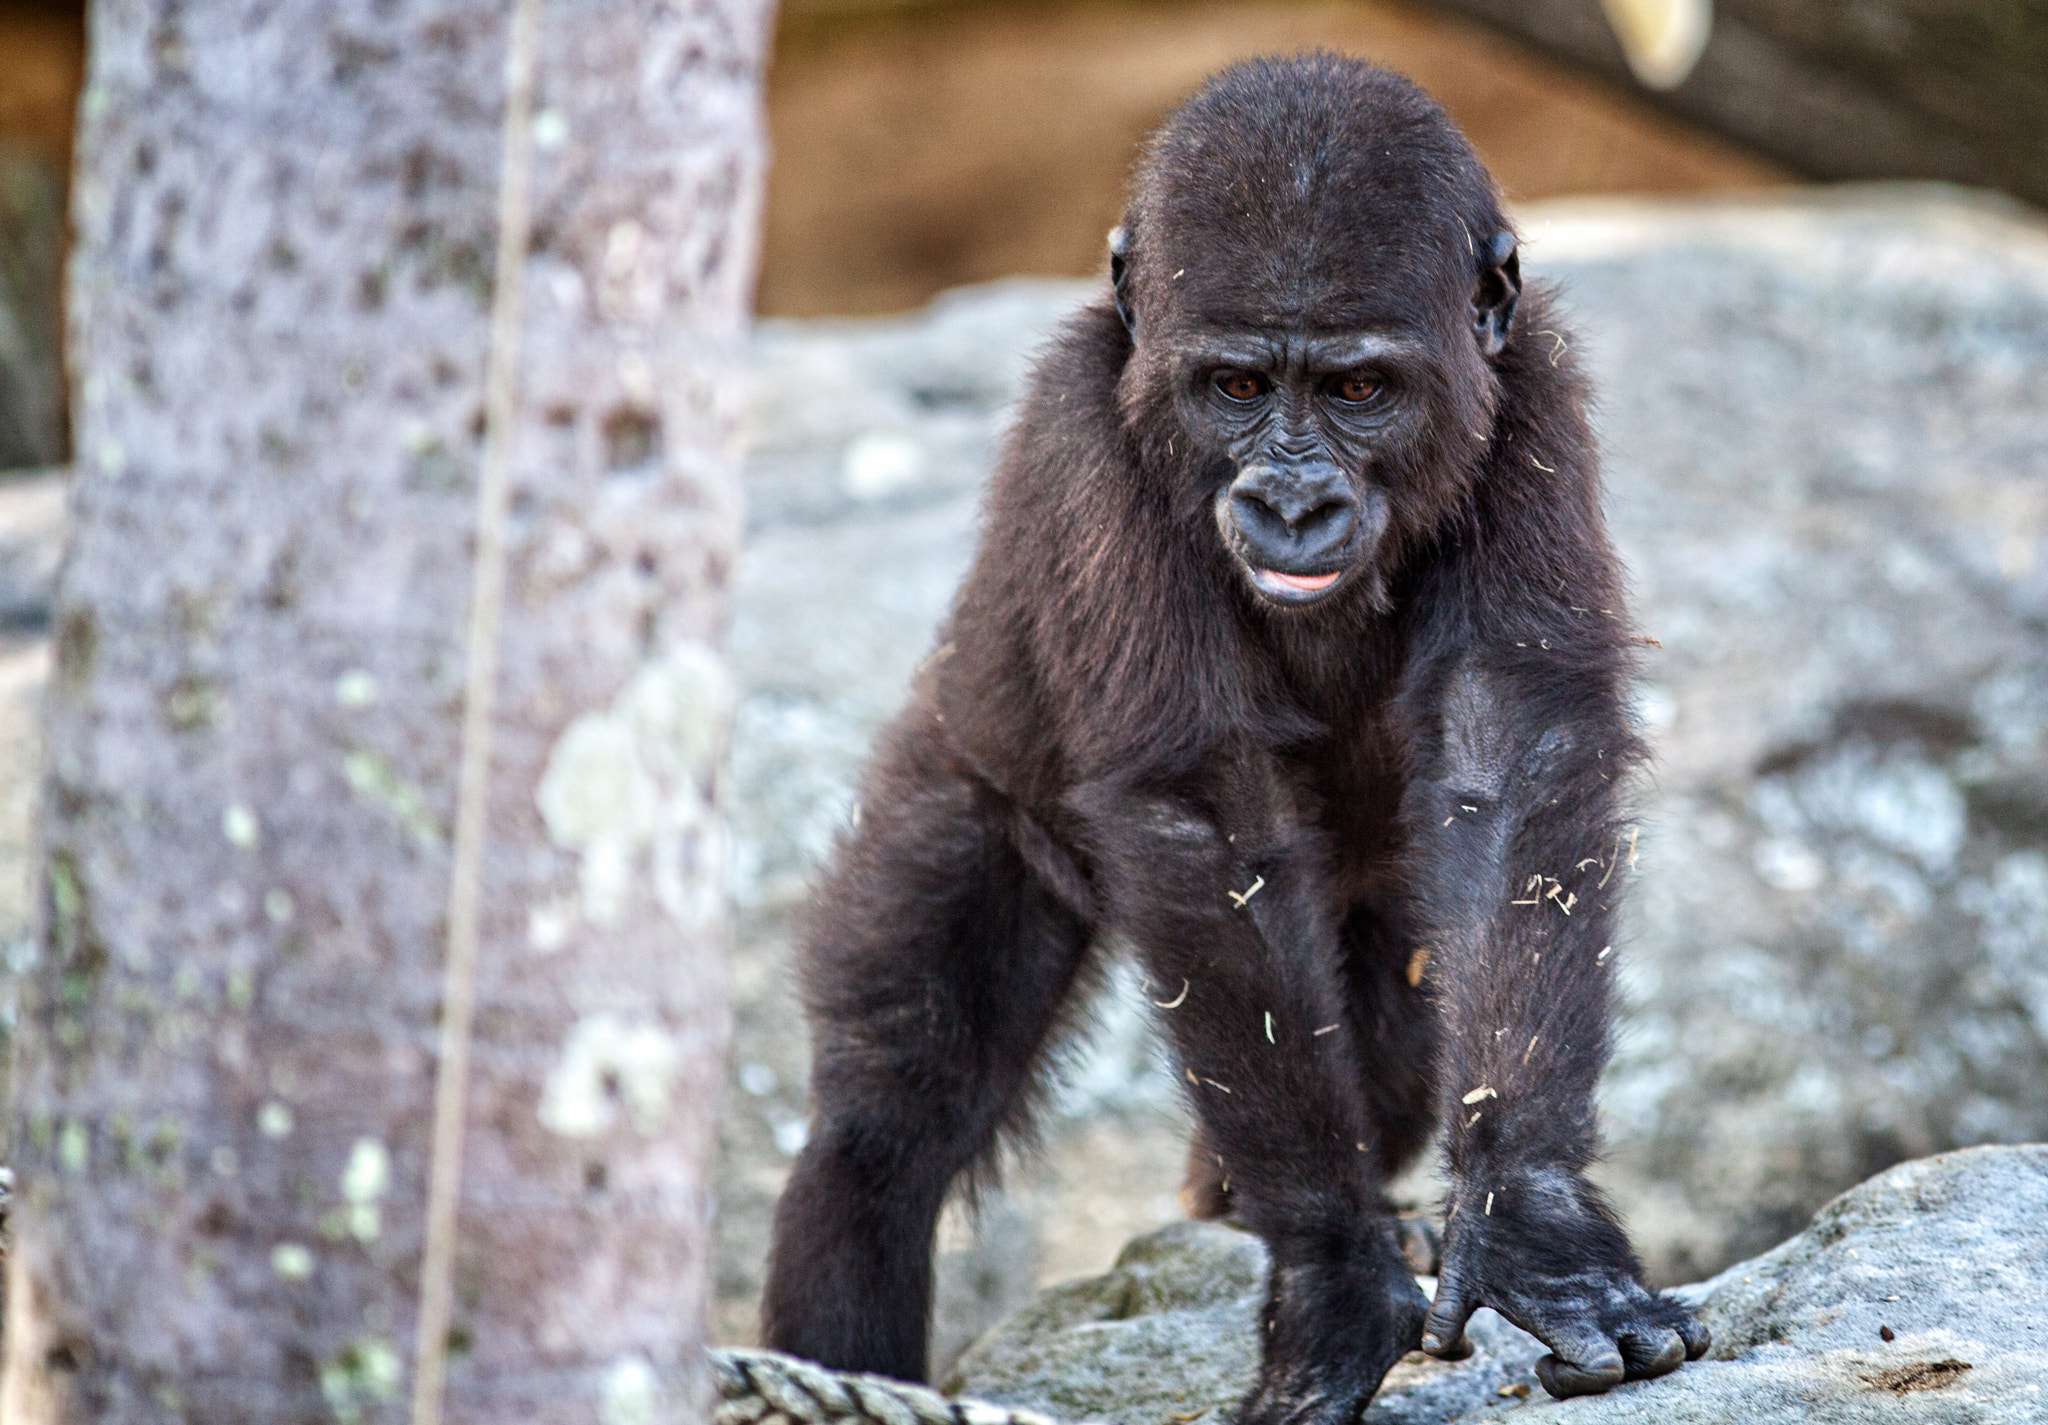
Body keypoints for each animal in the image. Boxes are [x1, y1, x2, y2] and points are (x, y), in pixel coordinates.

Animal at [762, 53, 1708, 1423]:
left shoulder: (1535, 394)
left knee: (1383, 1054)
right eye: (1238, 389)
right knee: (884, 1123)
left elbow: (1510, 748)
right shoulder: (1083, 443)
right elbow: (1201, 817)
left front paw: (1532, 1218)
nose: (1294, 502)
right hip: (963, 776)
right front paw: (1332, 1272)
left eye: (1357, 390)